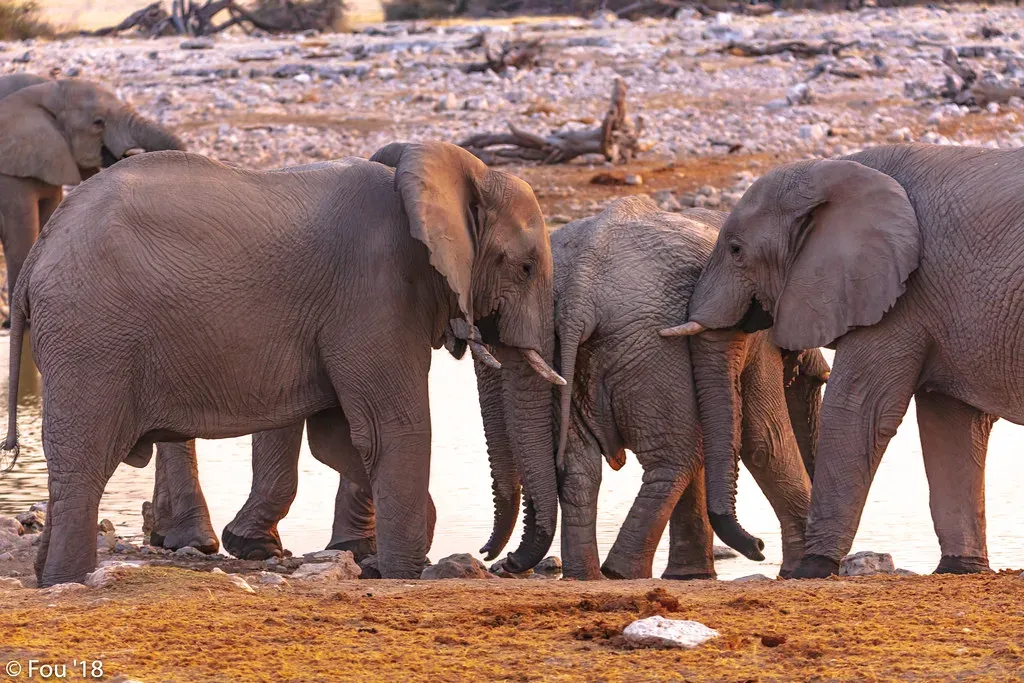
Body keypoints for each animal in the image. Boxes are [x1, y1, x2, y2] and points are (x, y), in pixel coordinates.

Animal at [2, 141, 564, 586]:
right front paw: (405, 573)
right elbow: (392, 429)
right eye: (525, 266)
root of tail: (36, 257)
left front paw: (383, 559)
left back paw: (45, 578)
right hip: (90, 334)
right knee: (85, 463)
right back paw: (67, 581)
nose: (495, 558)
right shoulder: (376, 291)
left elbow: (341, 440)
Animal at [662, 143, 1024, 578]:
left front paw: (811, 569)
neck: (833, 171)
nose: (760, 546)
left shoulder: (898, 295)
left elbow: (856, 411)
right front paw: (960, 569)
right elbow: (950, 422)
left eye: (735, 250)